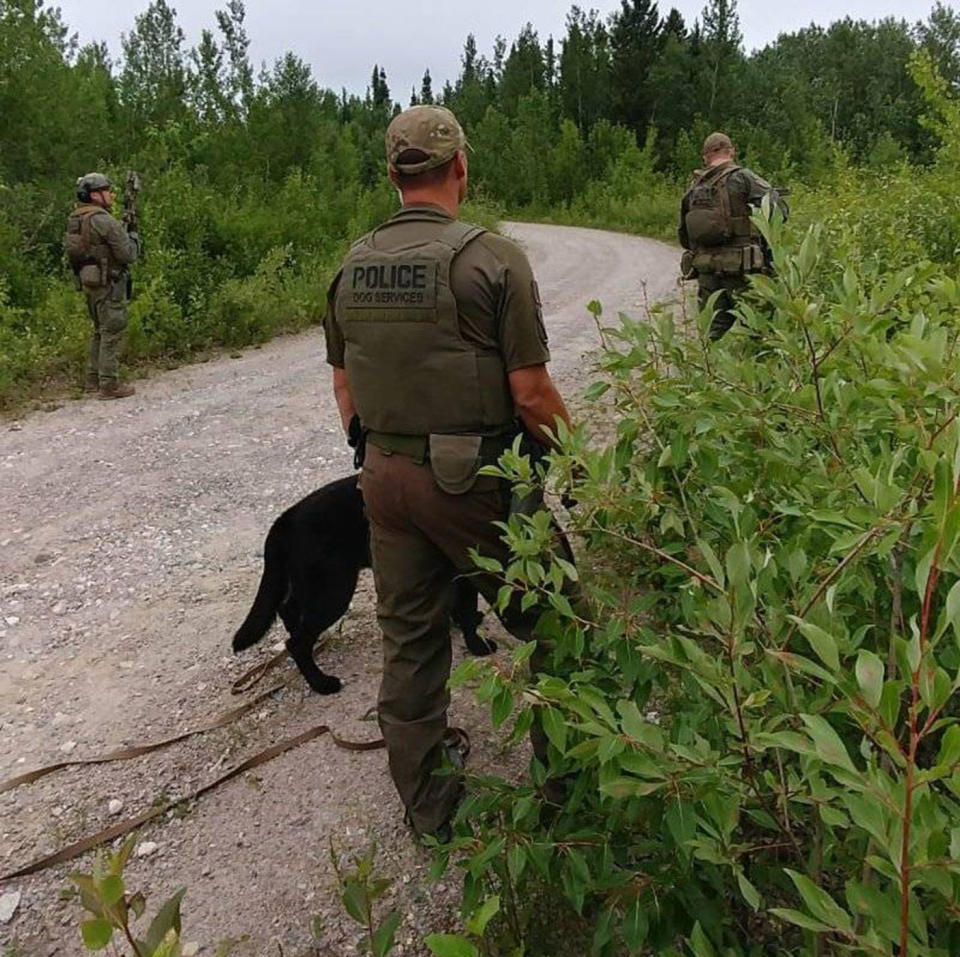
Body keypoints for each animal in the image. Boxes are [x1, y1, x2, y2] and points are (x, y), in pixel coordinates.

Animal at [229, 476, 492, 696]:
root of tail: (285, 520)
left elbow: (459, 605)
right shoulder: (469, 564)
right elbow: (467, 608)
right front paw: (478, 644)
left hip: (311, 586)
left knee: (289, 611)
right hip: (334, 591)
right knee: (297, 643)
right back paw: (322, 684)